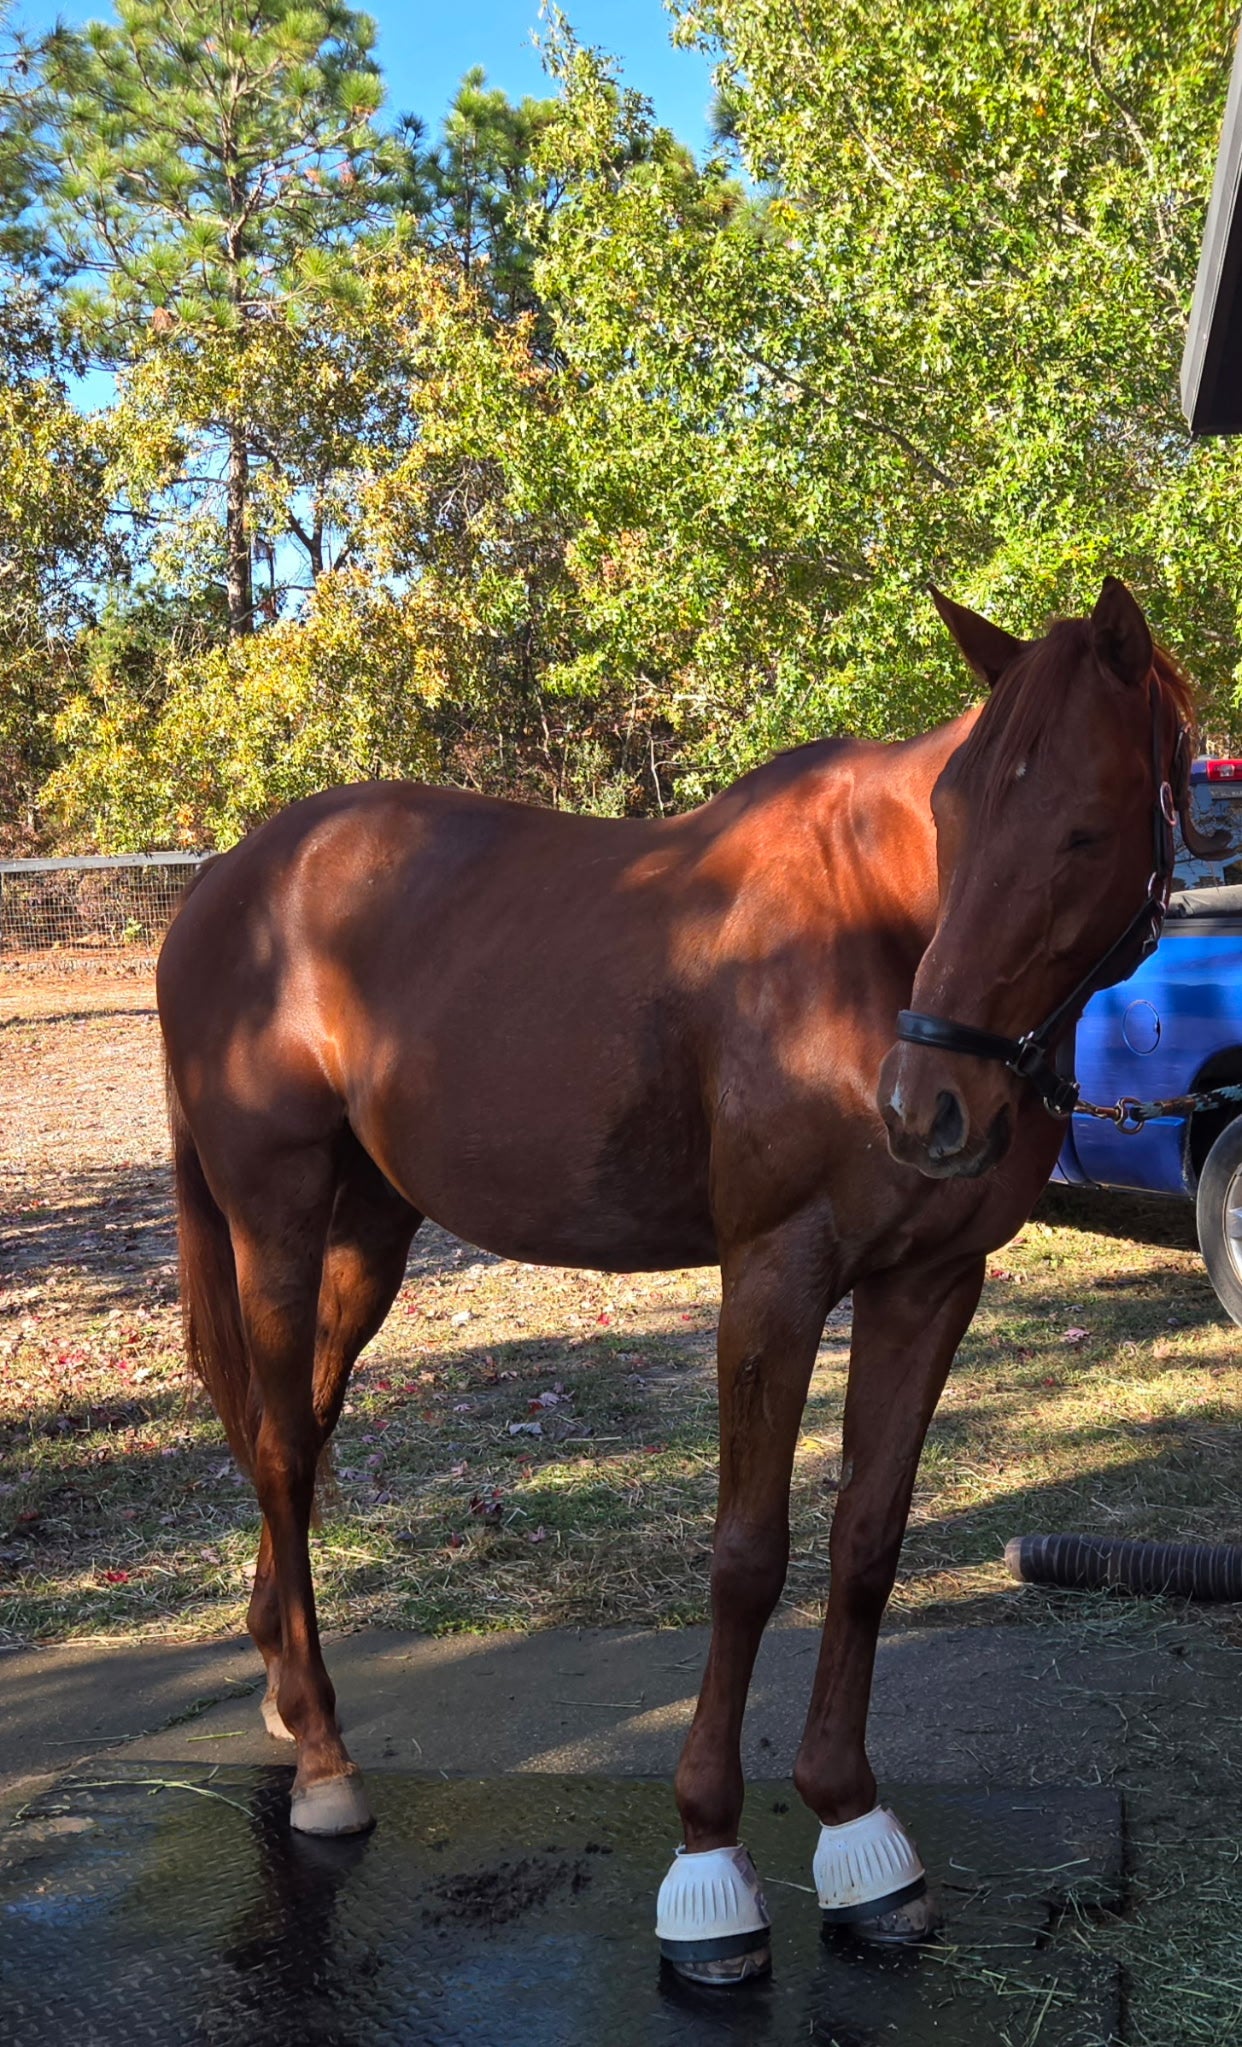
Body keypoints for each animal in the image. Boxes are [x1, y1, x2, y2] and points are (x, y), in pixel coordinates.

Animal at [157, 576, 1216, 1984]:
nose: (923, 1107)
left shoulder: (931, 1284)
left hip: (369, 1231)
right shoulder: (772, 1274)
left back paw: (285, 1687)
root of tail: (230, 879)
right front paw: (709, 1865)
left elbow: (866, 1540)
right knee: (279, 1452)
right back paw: (327, 1758)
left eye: (1085, 830)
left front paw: (857, 1833)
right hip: (271, 1216)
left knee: (305, 1430)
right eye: (953, 814)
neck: (868, 935)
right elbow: (747, 1556)